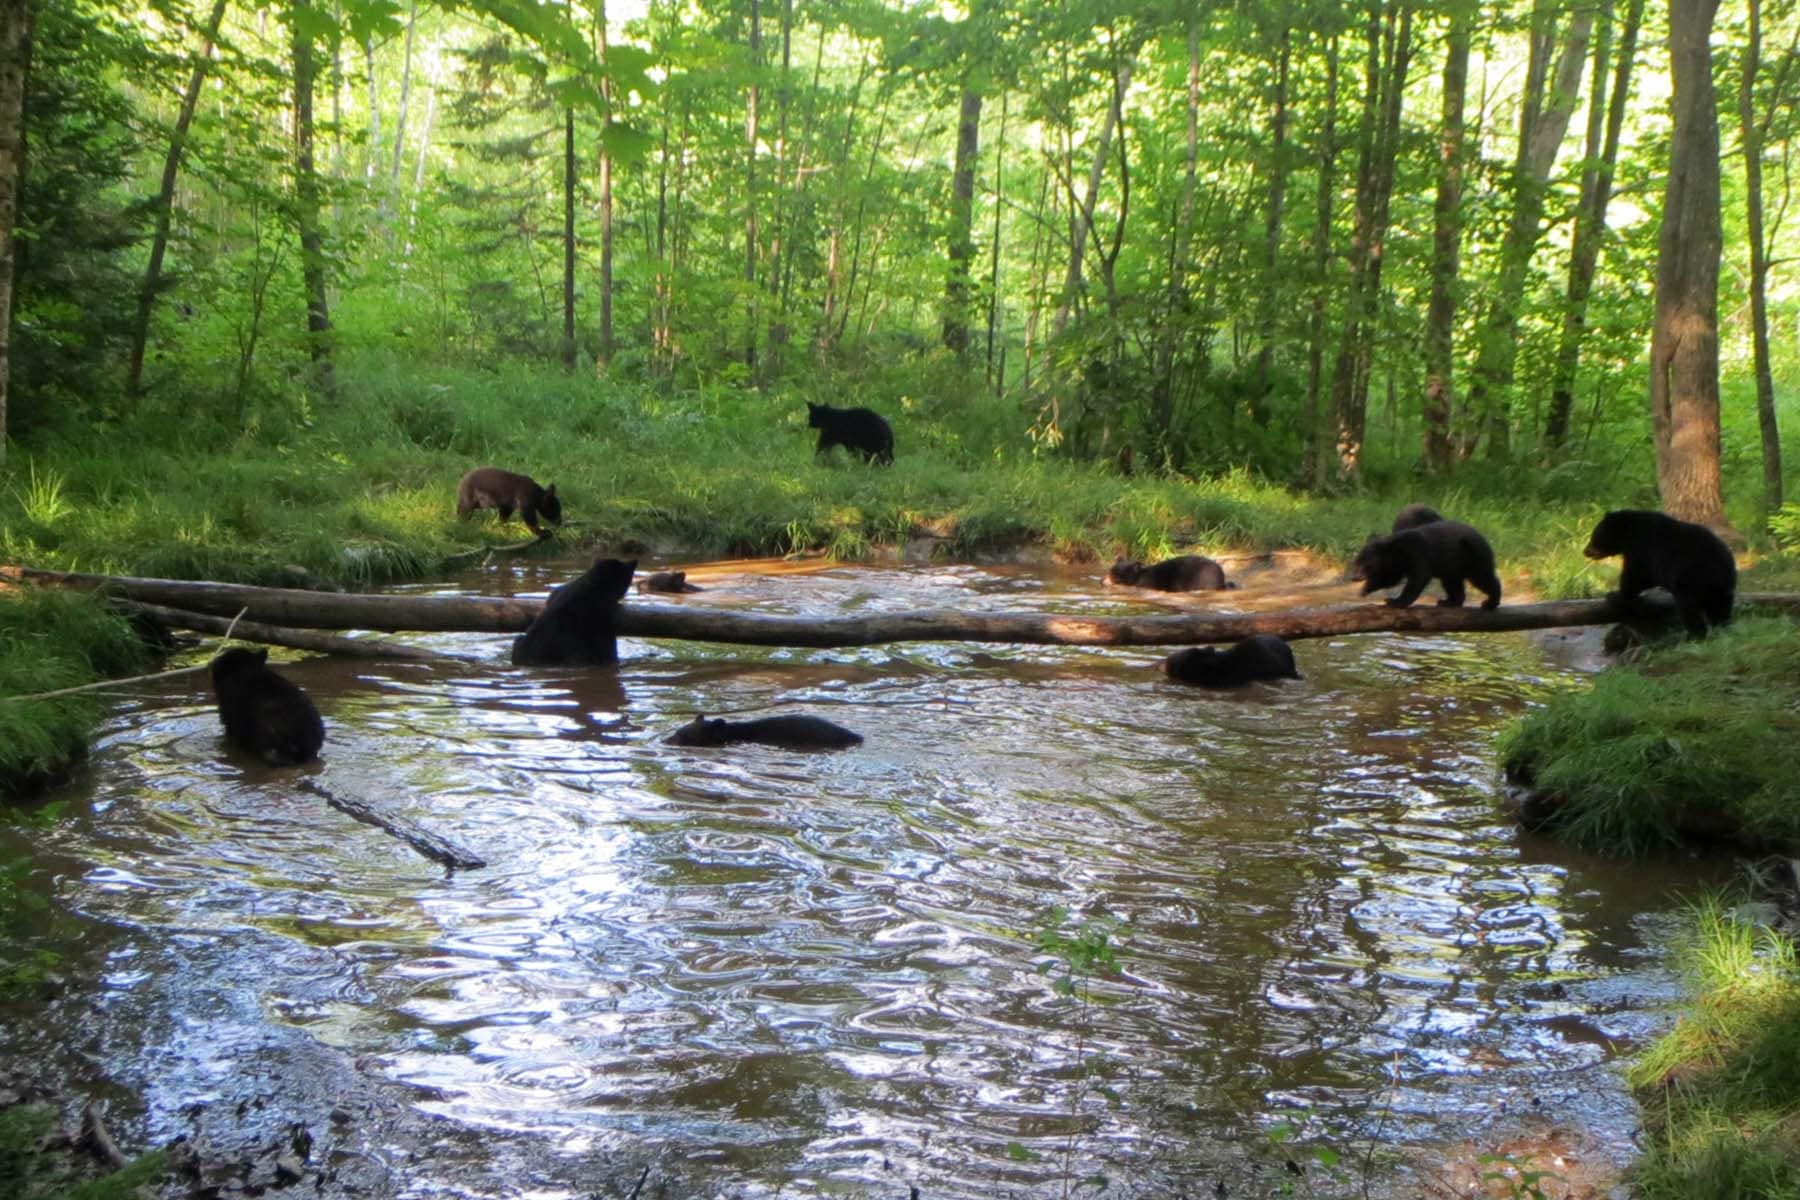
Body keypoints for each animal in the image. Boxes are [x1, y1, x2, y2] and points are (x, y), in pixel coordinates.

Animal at [1350, 520, 1502, 609]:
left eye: (1364, 563)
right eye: (1356, 562)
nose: (1354, 577)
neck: (1398, 551)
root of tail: (1486, 539)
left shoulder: (1417, 553)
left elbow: (1418, 577)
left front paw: (1396, 601)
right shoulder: (1397, 563)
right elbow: (1390, 578)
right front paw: (1365, 589)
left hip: (1474, 556)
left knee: (1483, 578)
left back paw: (1490, 602)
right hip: (1453, 566)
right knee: (1452, 583)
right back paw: (1449, 602)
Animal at [1583, 509, 1736, 638]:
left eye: (1594, 536)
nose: (1585, 551)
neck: (1630, 532)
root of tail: (1722, 568)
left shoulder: (1642, 549)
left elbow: (1636, 575)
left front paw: (1615, 595)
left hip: (1691, 579)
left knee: (1689, 608)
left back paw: (1695, 634)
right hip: (1723, 587)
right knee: (1720, 607)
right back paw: (1721, 626)